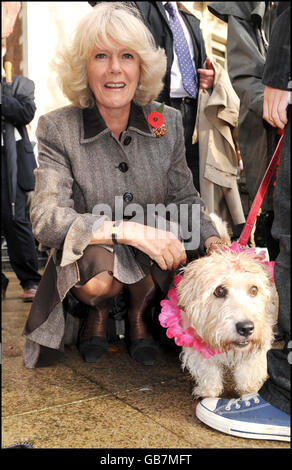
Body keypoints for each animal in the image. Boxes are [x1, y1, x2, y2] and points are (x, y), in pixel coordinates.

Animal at [177, 215, 278, 398]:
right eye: (219, 291)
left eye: (254, 289)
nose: (246, 328)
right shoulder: (196, 342)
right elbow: (207, 368)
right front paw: (209, 391)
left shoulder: (261, 339)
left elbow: (249, 369)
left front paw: (249, 391)